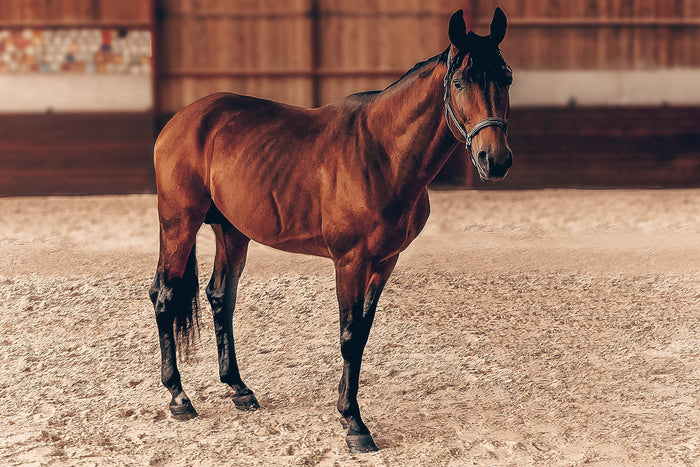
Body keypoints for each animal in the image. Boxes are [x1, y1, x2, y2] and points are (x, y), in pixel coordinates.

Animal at [149, 8, 513, 453]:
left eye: (507, 77)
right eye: (460, 82)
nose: (494, 159)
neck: (382, 154)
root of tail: (181, 120)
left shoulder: (384, 262)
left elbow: (362, 335)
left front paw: (347, 413)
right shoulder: (350, 262)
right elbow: (349, 336)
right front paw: (355, 424)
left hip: (231, 232)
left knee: (221, 298)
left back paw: (239, 389)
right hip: (178, 224)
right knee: (164, 296)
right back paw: (179, 397)